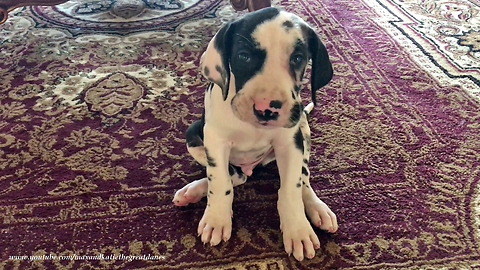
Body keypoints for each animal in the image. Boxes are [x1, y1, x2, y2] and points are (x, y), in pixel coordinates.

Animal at [172, 7, 338, 262]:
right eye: (243, 56)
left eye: (297, 58)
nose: (266, 109)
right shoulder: (216, 141)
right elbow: (220, 180)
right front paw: (216, 219)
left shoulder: (291, 144)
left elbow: (291, 188)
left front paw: (298, 230)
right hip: (193, 134)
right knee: (235, 177)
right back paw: (193, 191)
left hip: (304, 133)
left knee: (304, 179)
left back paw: (317, 208)